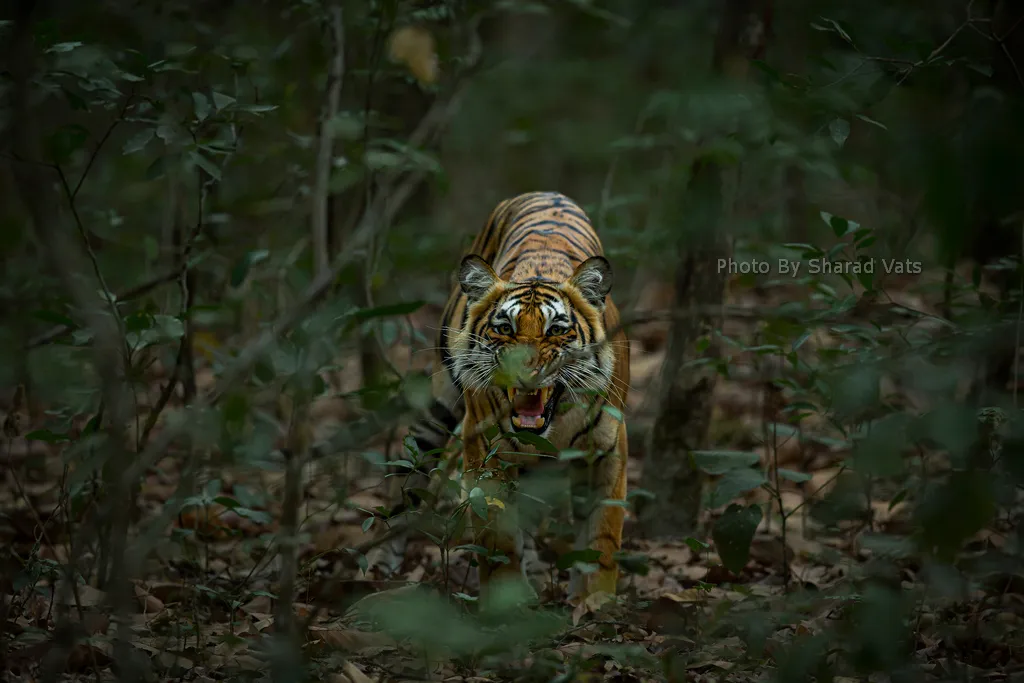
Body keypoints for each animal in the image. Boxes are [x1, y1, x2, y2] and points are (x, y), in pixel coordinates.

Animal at [407, 189, 630, 602]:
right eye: (504, 328)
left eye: (556, 329)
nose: (524, 369)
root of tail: (544, 192)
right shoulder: (483, 445)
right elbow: (498, 536)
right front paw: (507, 599)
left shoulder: (609, 448)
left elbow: (604, 536)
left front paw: (596, 601)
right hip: (439, 407)